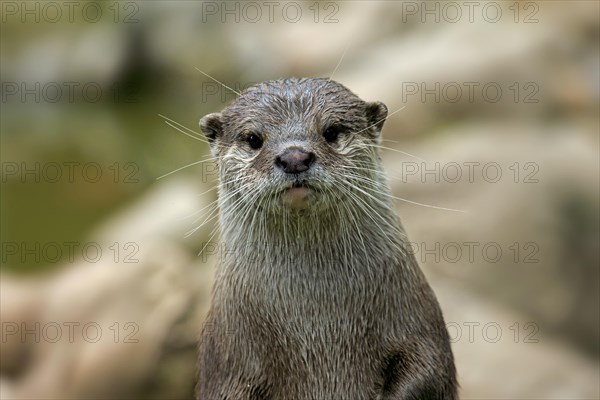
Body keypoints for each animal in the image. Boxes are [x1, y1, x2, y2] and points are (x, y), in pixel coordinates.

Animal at [196, 78, 454, 400]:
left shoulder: (419, 327)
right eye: (253, 138)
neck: (319, 323)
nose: (294, 157)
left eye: (331, 131)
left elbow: (428, 370)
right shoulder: (228, 362)